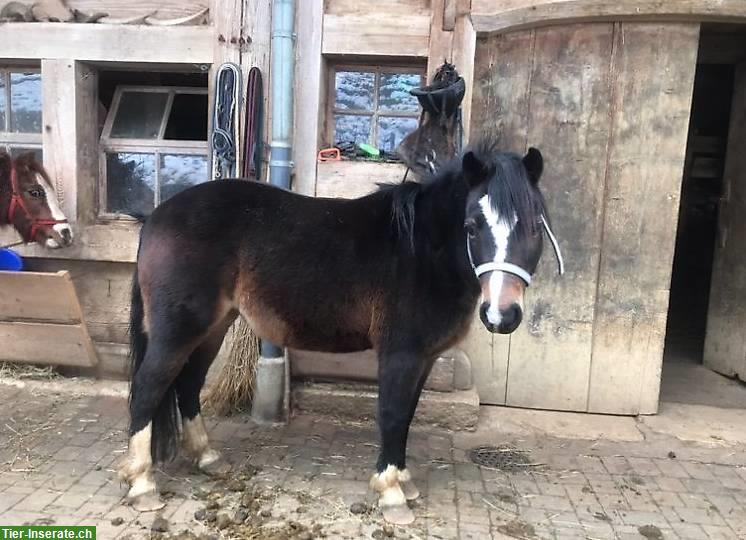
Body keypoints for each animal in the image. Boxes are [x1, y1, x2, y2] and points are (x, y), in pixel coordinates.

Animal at [119, 140, 560, 524]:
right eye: (471, 226)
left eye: (535, 227)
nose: (502, 315)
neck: (421, 250)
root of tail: (156, 216)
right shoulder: (401, 355)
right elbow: (392, 414)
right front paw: (391, 493)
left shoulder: (425, 358)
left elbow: (408, 415)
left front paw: (404, 481)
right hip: (178, 330)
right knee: (148, 389)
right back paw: (142, 485)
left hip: (213, 326)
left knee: (188, 384)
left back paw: (207, 458)